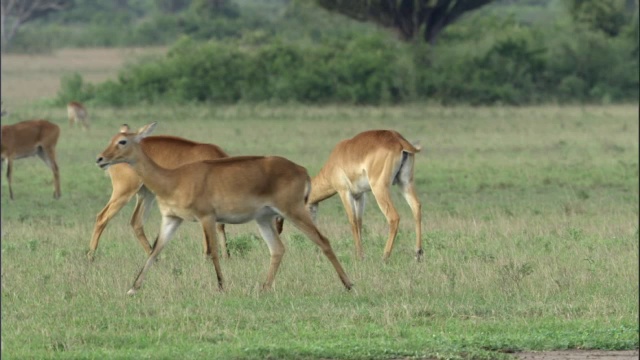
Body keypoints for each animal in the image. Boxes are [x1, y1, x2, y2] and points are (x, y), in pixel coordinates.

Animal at [97, 124, 352, 296]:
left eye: (123, 141)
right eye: (112, 138)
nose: (100, 158)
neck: (173, 179)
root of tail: (302, 170)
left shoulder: (207, 217)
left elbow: (213, 252)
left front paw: (221, 286)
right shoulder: (171, 219)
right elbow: (154, 251)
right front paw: (133, 288)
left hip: (294, 211)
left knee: (323, 240)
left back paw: (348, 284)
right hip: (264, 219)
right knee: (278, 249)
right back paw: (264, 287)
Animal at [304, 129, 420, 262]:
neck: (335, 159)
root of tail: (399, 141)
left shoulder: (344, 192)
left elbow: (352, 221)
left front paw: (359, 256)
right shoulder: (359, 195)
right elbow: (359, 221)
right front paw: (362, 255)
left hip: (379, 189)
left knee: (394, 217)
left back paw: (384, 257)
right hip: (405, 183)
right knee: (416, 207)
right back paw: (418, 254)